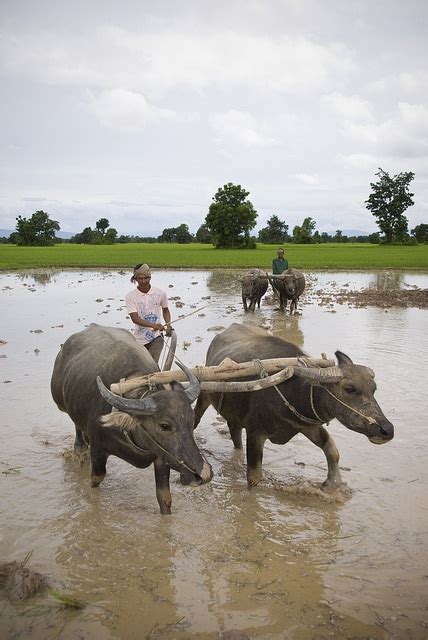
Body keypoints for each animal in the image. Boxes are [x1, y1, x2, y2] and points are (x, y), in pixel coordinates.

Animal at [51, 324, 212, 516]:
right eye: (165, 426)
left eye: (191, 420)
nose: (204, 474)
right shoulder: (98, 449)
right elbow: (96, 480)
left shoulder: (161, 457)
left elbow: (164, 497)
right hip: (62, 402)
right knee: (76, 425)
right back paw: (80, 448)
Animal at [195, 322, 394, 492]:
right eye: (350, 389)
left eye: (374, 389)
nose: (387, 429)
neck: (293, 390)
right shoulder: (255, 433)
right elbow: (254, 476)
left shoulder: (307, 424)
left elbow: (332, 449)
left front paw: (332, 483)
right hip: (204, 396)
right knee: (196, 420)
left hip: (234, 415)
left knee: (235, 436)